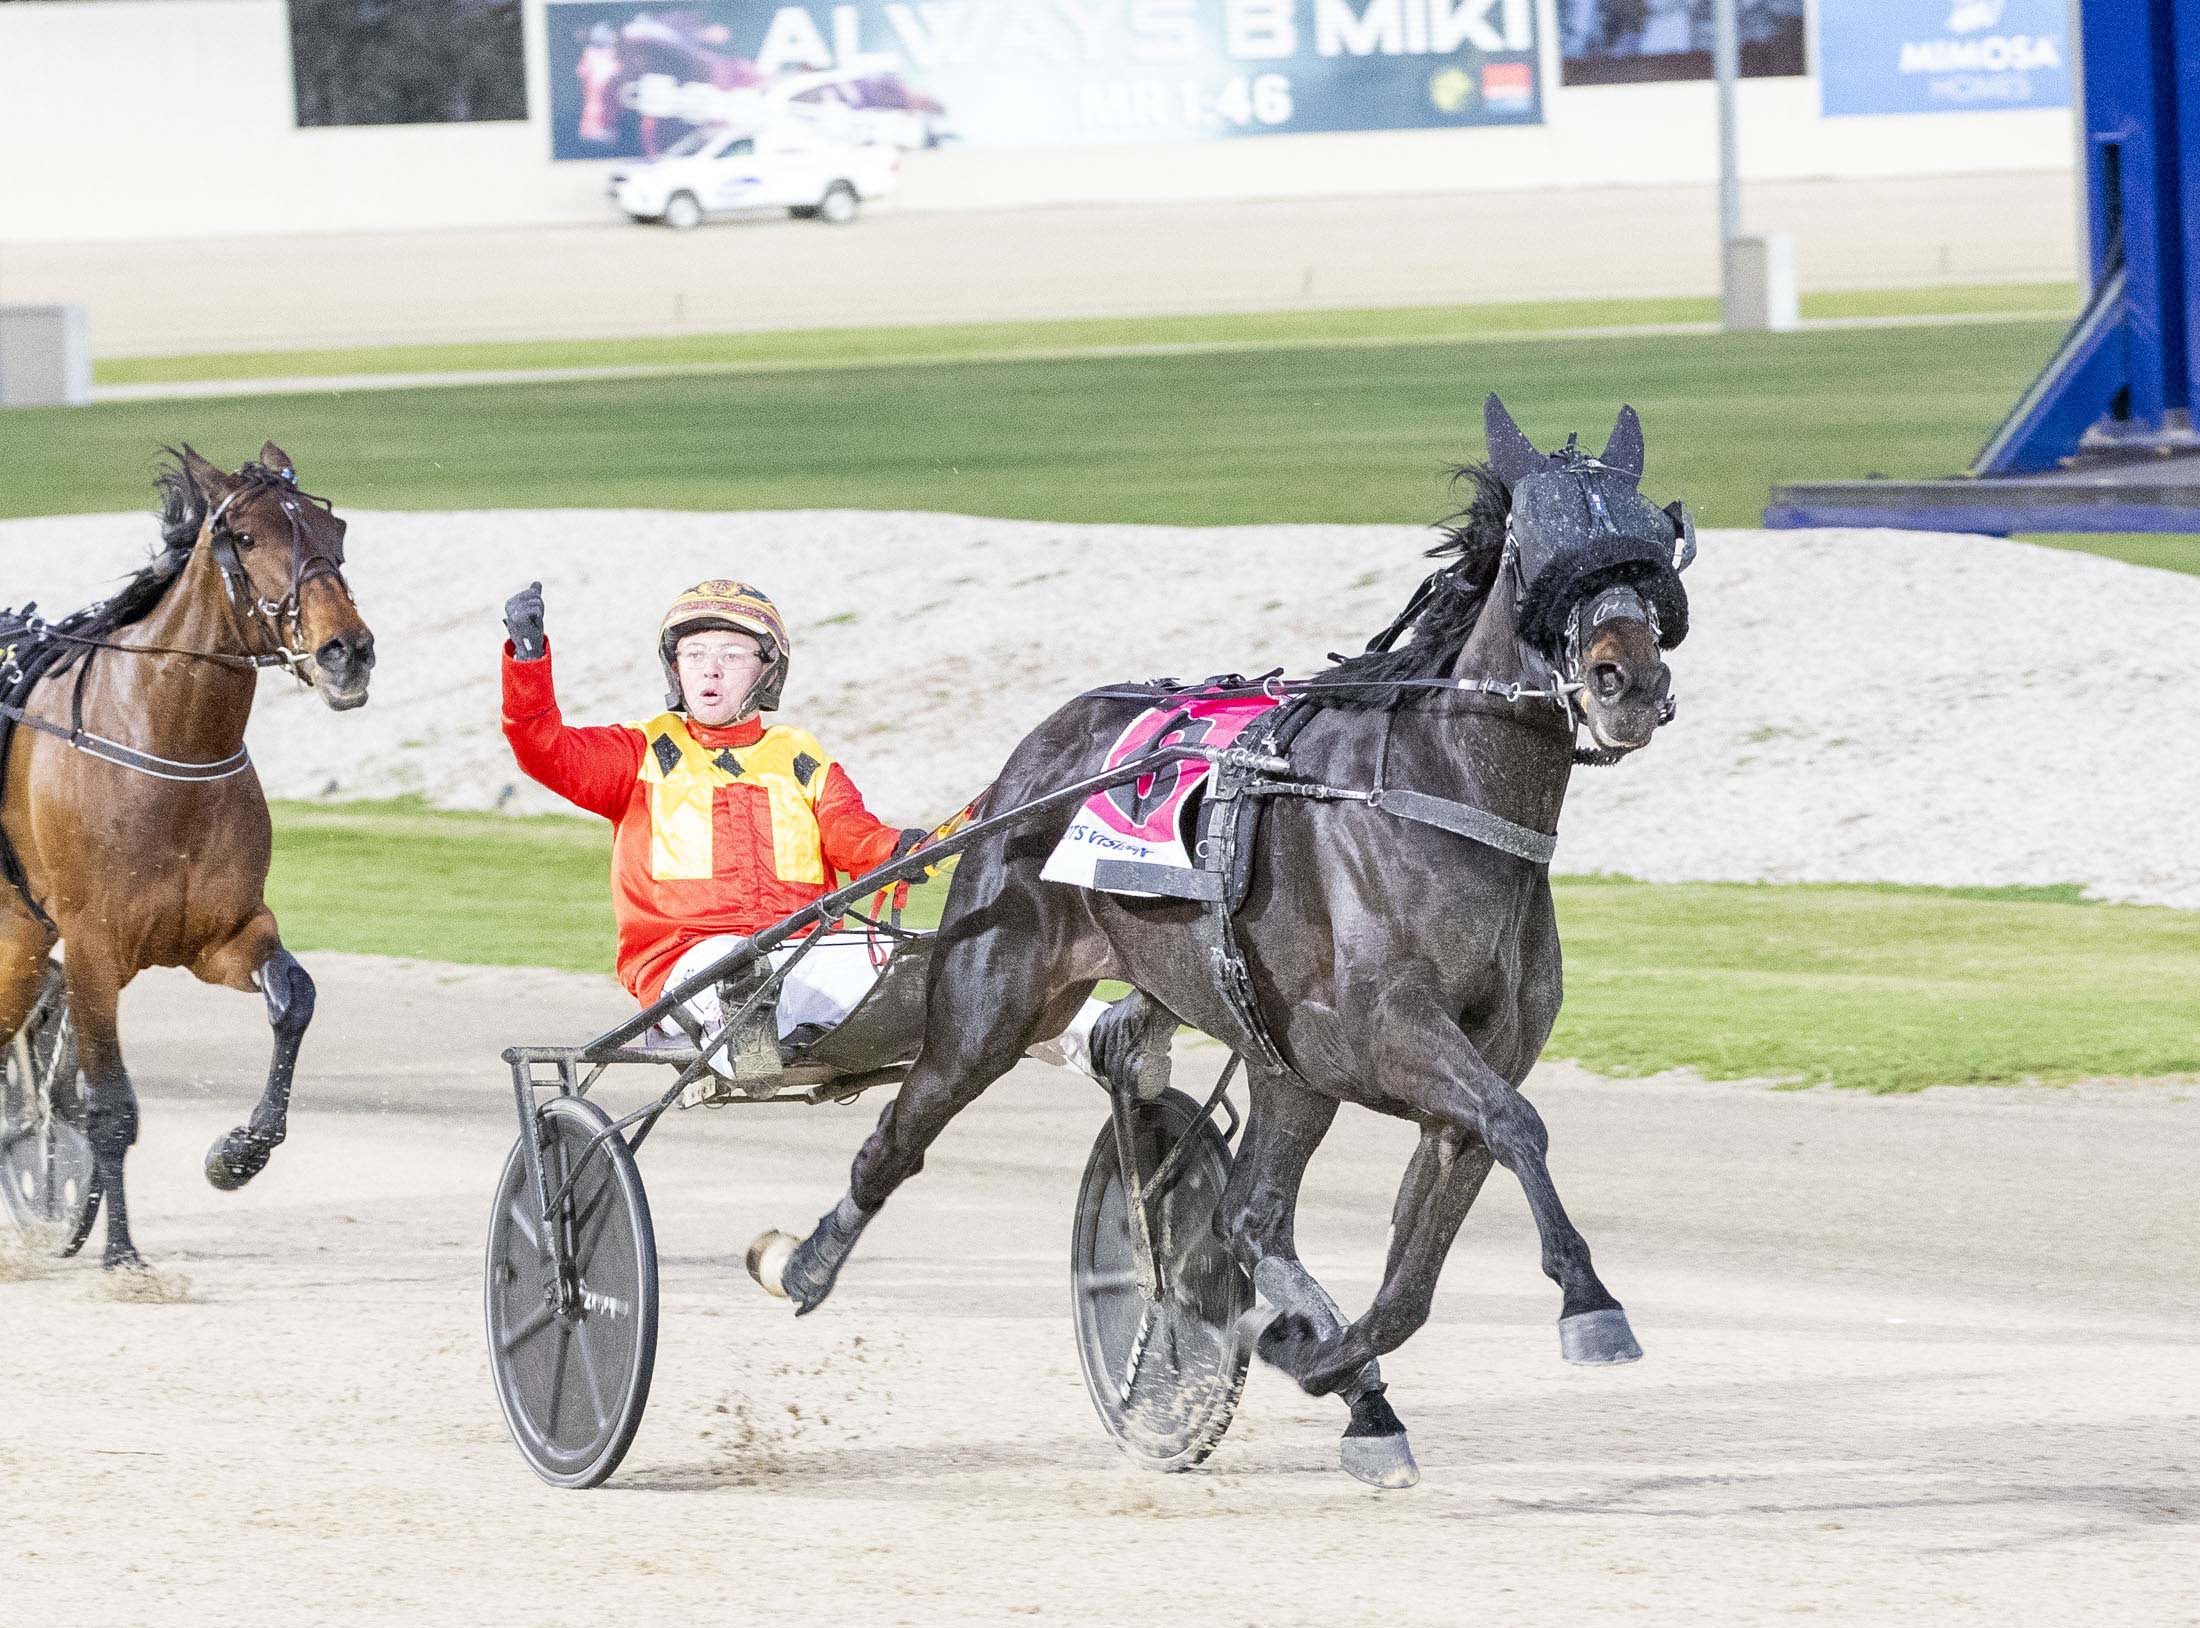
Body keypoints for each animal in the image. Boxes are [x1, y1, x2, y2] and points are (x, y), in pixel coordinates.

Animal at [0, 444, 375, 1268]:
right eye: (248, 537)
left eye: (334, 530)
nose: (348, 652)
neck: (165, 741)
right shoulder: (92, 948)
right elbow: (108, 1105)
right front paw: (121, 1255)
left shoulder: (222, 934)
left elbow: (294, 999)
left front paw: (238, 1153)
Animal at [757, 396, 1696, 1485]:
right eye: (1532, 546)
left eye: (1652, 540)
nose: (1626, 680)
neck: (1439, 800)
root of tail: (1027, 764)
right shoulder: (1392, 1035)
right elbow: (1519, 1126)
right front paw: (1591, 1304)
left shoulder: (1447, 1074)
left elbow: (1414, 1272)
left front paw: (1323, 1359)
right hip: (991, 1003)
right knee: (902, 1133)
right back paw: (804, 1261)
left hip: (1281, 1063)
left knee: (1247, 1208)